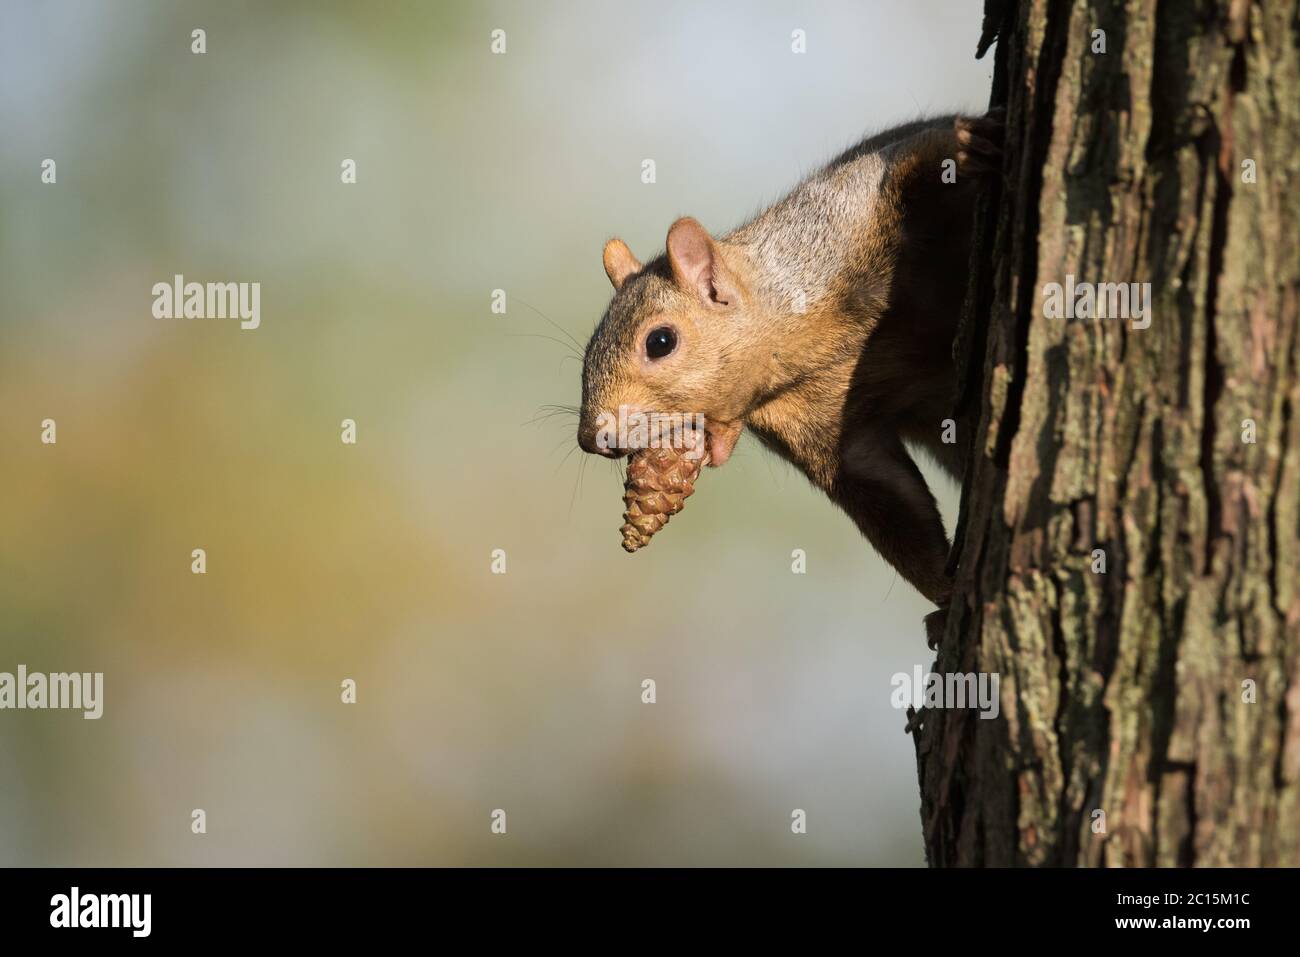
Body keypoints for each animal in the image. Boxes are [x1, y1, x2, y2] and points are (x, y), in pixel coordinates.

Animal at [578, 113, 1003, 644]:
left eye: (660, 341)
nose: (591, 437)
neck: (796, 352)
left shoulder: (846, 219)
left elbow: (917, 159)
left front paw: (966, 144)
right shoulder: (824, 432)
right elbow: (892, 505)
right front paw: (946, 596)